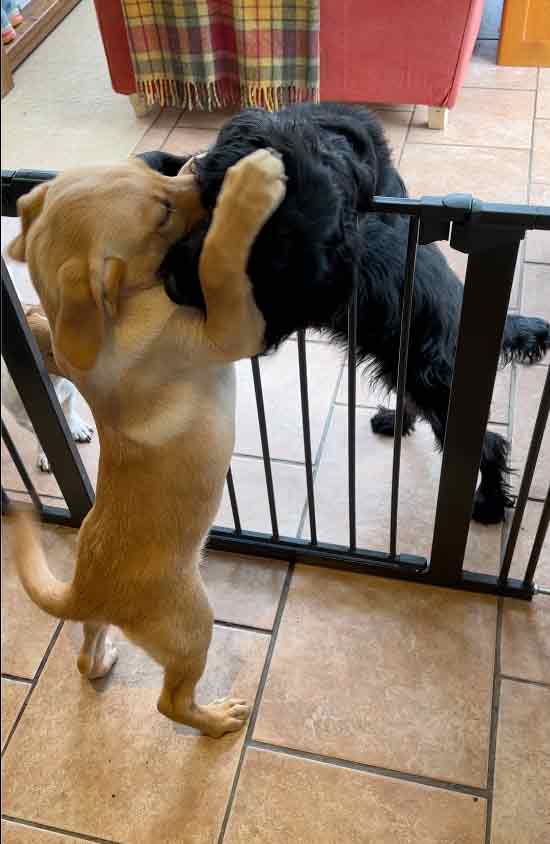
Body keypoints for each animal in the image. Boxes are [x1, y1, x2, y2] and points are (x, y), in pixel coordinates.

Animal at [9, 148, 288, 736]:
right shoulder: (231, 330)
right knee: (170, 702)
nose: (202, 166)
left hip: (101, 624)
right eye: (161, 216)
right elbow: (219, 261)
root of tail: (84, 586)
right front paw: (250, 188)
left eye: (146, 168)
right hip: (192, 625)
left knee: (85, 654)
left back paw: (104, 660)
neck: (117, 312)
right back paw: (217, 719)